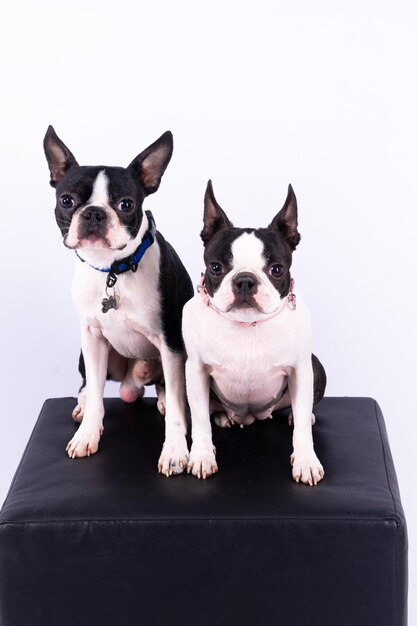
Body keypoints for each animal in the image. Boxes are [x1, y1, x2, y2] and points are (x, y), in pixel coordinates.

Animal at [43, 125, 193, 472]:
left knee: (167, 387)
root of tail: (130, 384)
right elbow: (98, 394)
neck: (114, 270)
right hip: (88, 354)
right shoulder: (92, 338)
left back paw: (161, 399)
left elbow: (177, 404)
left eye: (125, 204)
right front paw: (87, 435)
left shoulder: (172, 343)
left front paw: (175, 451)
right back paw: (83, 404)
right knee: (89, 384)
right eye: (66, 200)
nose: (94, 214)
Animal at [184, 179, 326, 482]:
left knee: (300, 409)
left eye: (277, 269)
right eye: (216, 267)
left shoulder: (301, 368)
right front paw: (202, 456)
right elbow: (200, 419)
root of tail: (250, 416)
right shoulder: (195, 369)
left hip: (316, 367)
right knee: (213, 411)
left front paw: (306, 461)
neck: (247, 325)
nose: (245, 281)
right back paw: (224, 416)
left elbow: (302, 429)